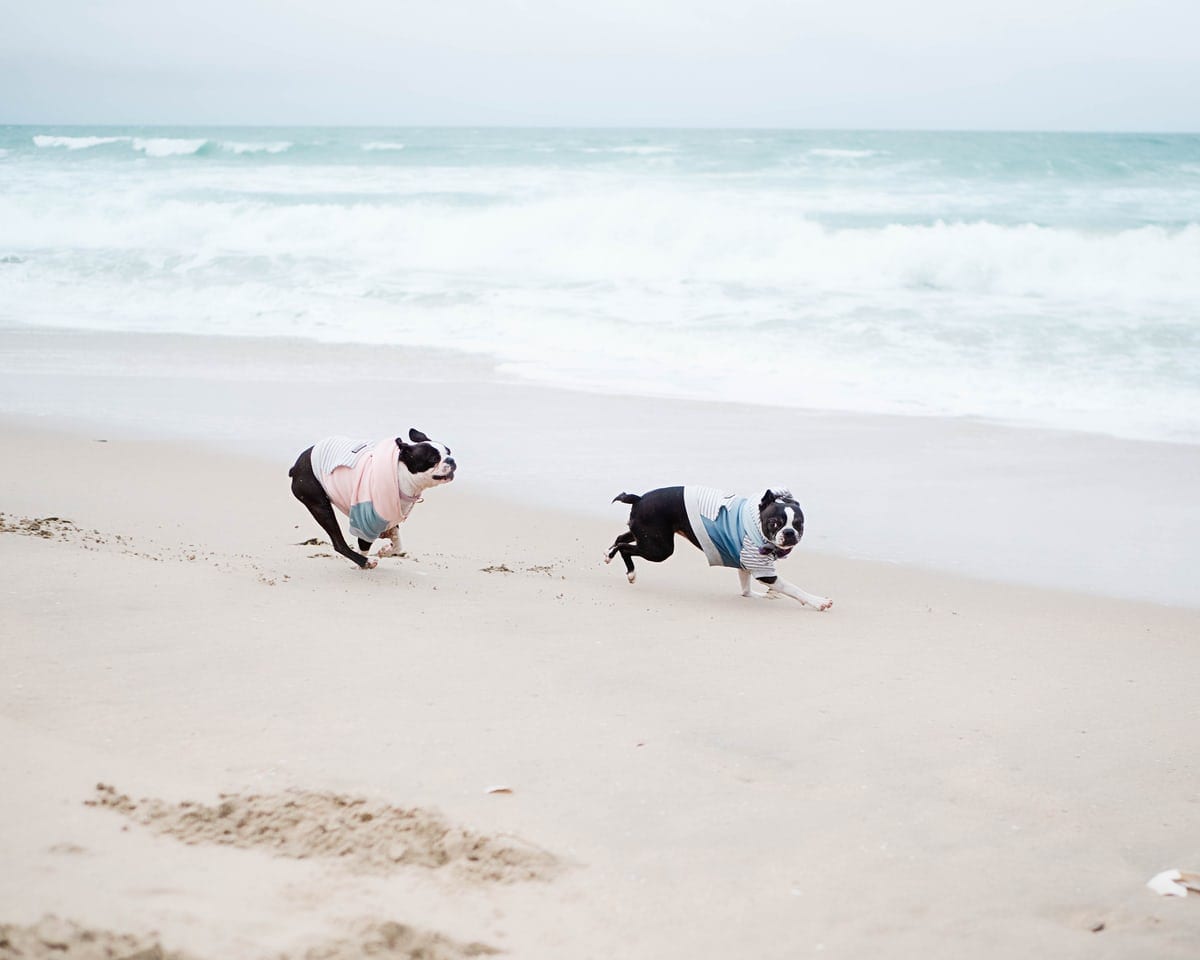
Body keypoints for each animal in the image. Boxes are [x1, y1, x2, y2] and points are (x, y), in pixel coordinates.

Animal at [288, 427, 456, 571]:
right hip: (320, 504)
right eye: (433, 459)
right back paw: (365, 562)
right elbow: (364, 546)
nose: (451, 460)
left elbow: (398, 544)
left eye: (449, 451)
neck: (400, 477)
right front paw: (362, 565)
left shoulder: (391, 518)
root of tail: (295, 466)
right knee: (339, 543)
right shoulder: (365, 524)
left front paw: (385, 551)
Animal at [604, 484, 830, 612]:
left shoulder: (745, 563)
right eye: (775, 523)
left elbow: (745, 589)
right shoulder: (763, 570)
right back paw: (631, 572)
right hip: (660, 549)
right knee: (625, 546)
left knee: (621, 538)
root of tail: (639, 498)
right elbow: (794, 588)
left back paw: (608, 554)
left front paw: (757, 595)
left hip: (646, 534)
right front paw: (818, 601)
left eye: (799, 524)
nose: (790, 532)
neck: (756, 523)